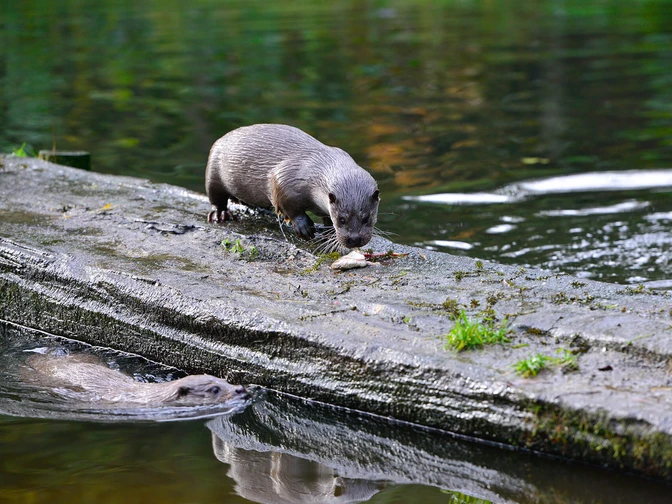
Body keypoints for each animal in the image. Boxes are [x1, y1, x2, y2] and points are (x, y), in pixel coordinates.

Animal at [205, 124, 380, 250]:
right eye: (342, 220)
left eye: (366, 218)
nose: (355, 240)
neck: (314, 172)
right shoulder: (284, 178)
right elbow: (288, 205)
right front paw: (304, 227)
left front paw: (329, 232)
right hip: (214, 169)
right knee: (215, 196)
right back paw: (220, 214)